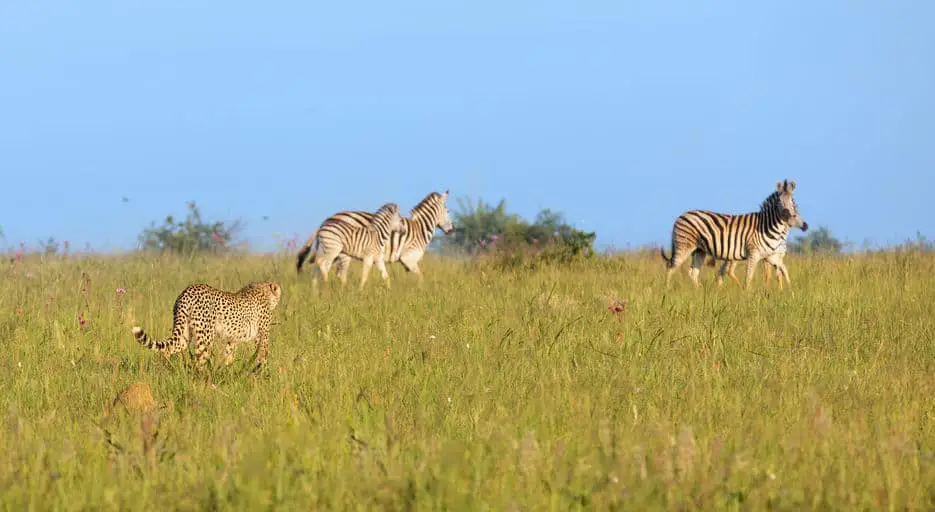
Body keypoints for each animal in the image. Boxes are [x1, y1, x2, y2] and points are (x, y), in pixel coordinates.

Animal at [133, 280, 282, 372]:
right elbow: (263, 356)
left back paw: (165, 371)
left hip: (184, 335)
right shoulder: (262, 336)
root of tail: (188, 290)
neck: (262, 290)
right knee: (198, 361)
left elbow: (228, 355)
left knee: (167, 350)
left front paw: (227, 371)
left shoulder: (232, 339)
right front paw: (263, 374)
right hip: (206, 337)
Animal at [294, 190, 452, 284]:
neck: (420, 228)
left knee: (320, 268)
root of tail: (327, 220)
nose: (451, 230)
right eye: (448, 211)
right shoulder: (408, 258)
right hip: (342, 254)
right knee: (338, 273)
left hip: (332, 251)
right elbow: (421, 278)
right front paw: (420, 293)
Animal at [660, 180, 808, 288]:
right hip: (684, 245)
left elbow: (783, 271)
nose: (805, 226)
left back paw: (699, 292)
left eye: (793, 203)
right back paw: (667, 291)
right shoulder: (754, 254)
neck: (768, 227)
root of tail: (681, 215)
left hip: (699, 250)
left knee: (693, 272)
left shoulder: (771, 256)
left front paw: (789, 293)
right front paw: (748, 297)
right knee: (671, 267)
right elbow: (749, 278)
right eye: (779, 202)